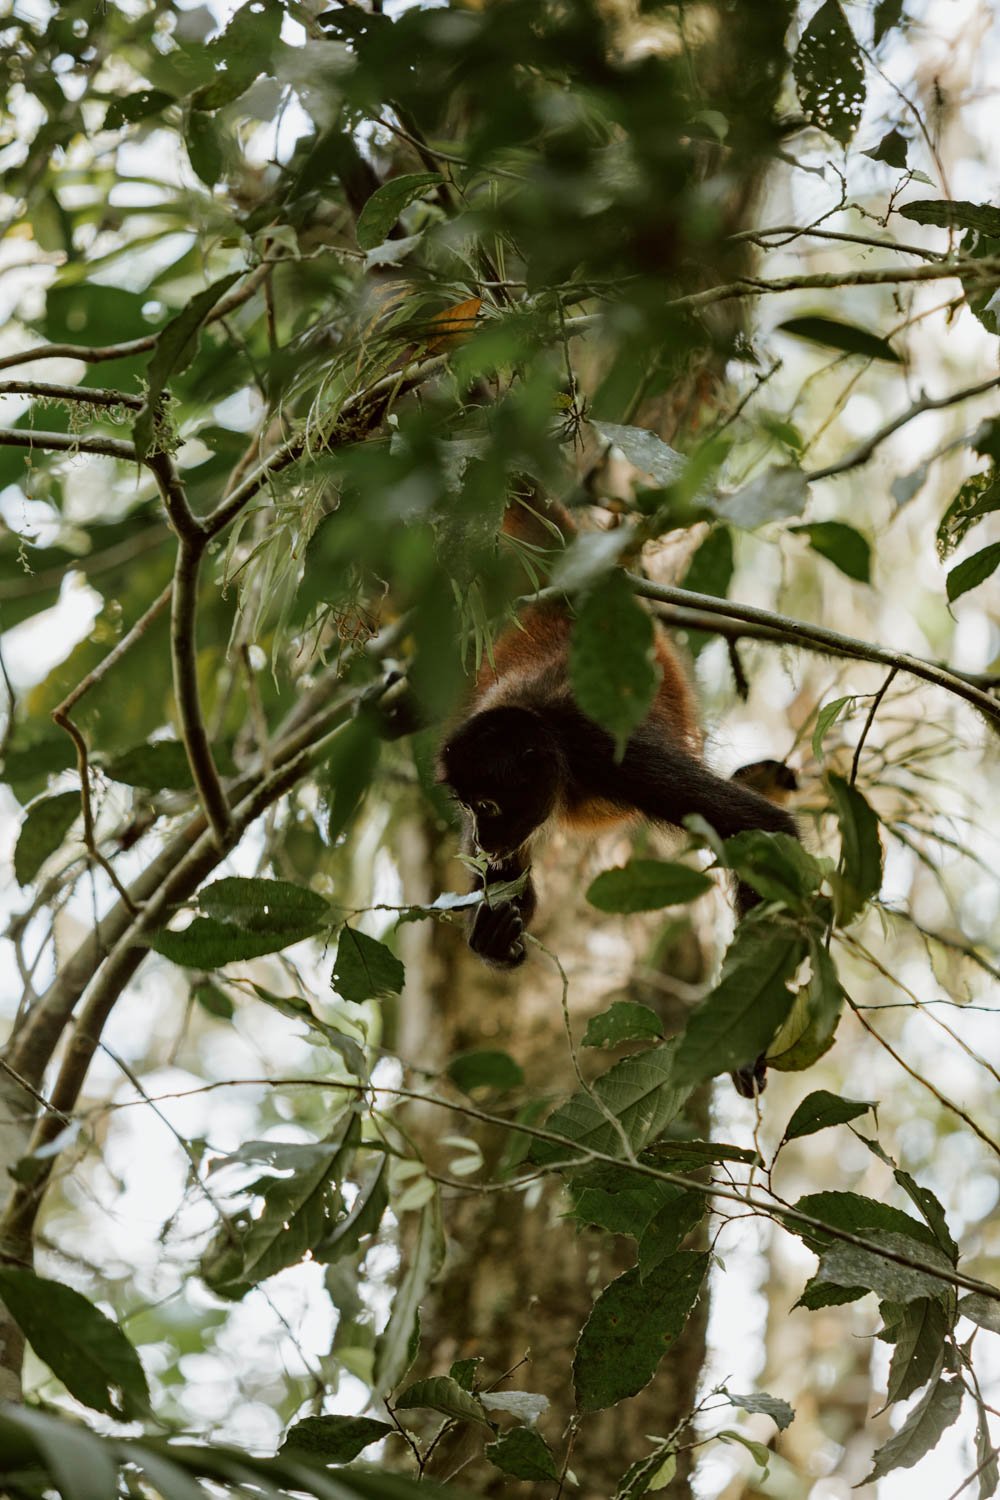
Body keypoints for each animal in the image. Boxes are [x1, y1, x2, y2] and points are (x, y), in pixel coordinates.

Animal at [434, 498, 797, 1098]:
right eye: (467, 807)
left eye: (487, 807)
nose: (482, 841)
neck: (547, 726)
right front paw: (492, 935)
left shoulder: (608, 753)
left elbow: (760, 830)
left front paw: (746, 1040)